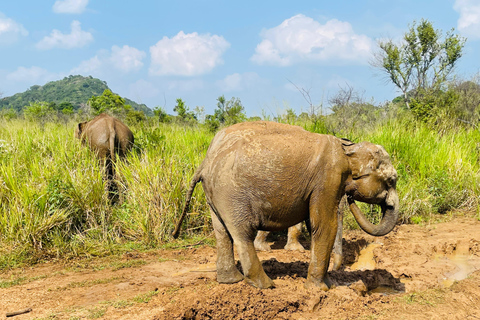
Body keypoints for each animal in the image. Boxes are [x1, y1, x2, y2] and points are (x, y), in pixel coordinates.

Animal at [172, 121, 398, 292]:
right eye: (391, 180)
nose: (350, 196)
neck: (348, 148)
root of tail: (206, 162)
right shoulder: (328, 179)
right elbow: (324, 224)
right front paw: (321, 289)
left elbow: (315, 223)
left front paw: (327, 286)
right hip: (231, 192)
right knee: (242, 232)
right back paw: (265, 285)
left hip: (214, 193)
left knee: (222, 233)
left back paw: (232, 281)